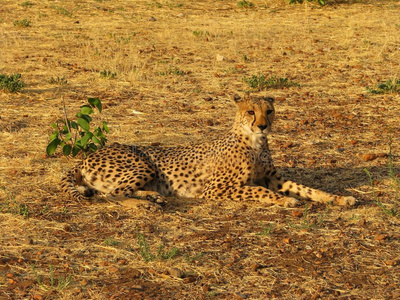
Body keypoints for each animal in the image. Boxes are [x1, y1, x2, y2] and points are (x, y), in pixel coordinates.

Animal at [61, 94, 356, 209]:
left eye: (269, 111)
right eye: (251, 111)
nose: (263, 125)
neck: (255, 142)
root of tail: (87, 156)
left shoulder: (274, 178)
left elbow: (308, 189)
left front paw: (340, 198)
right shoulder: (216, 189)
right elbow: (260, 191)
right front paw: (285, 201)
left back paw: (153, 196)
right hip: (143, 164)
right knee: (112, 194)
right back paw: (148, 202)